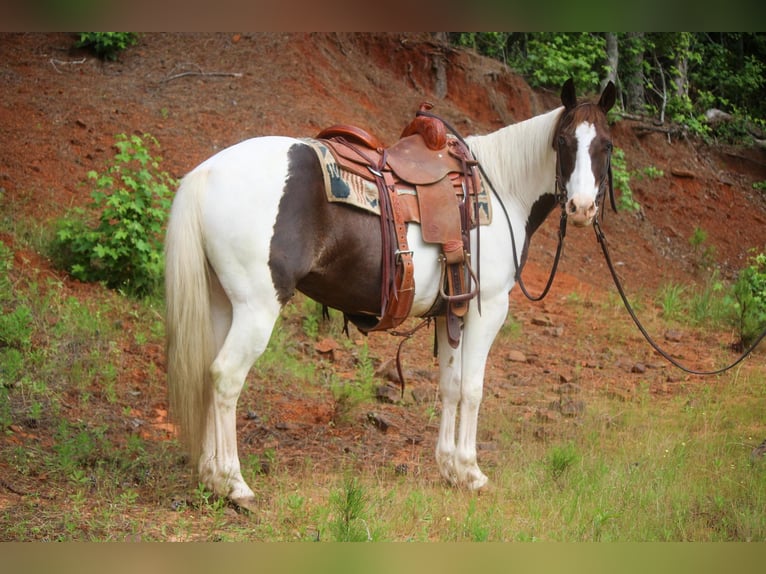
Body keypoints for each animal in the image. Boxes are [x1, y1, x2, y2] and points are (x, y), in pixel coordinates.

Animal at [166, 79, 616, 510]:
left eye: (606, 145)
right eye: (563, 141)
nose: (581, 208)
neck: (501, 189)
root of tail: (206, 173)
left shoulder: (450, 311)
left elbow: (451, 385)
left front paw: (449, 468)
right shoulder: (487, 308)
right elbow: (472, 389)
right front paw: (471, 471)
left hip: (223, 305)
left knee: (208, 374)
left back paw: (210, 475)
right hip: (257, 308)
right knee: (226, 377)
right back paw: (233, 484)